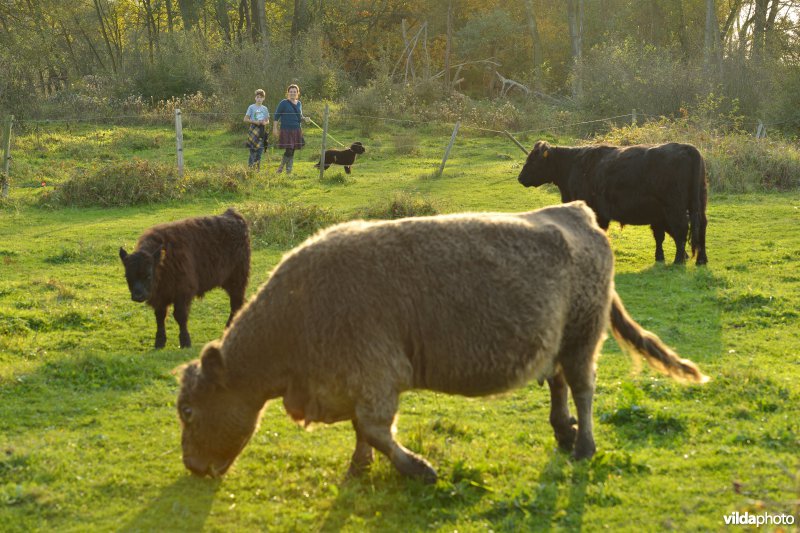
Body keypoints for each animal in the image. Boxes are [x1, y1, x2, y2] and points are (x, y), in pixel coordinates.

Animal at [520, 140, 708, 264]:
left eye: (533, 160)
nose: (520, 177)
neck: (572, 164)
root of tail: (687, 147)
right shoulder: (657, 215)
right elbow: (659, 236)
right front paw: (660, 257)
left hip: (675, 207)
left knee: (682, 228)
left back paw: (679, 260)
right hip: (697, 204)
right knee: (700, 228)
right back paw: (701, 260)